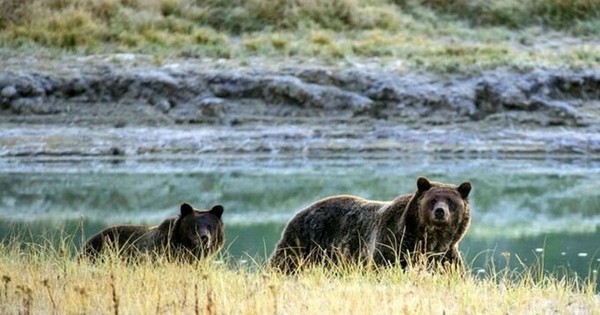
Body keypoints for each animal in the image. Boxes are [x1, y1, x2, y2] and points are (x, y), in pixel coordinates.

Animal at [270, 178, 472, 274]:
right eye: (433, 200)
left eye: (451, 201)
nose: (440, 212)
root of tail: (300, 211)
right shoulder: (393, 243)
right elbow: (383, 267)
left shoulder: (445, 255)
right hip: (304, 242)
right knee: (284, 263)